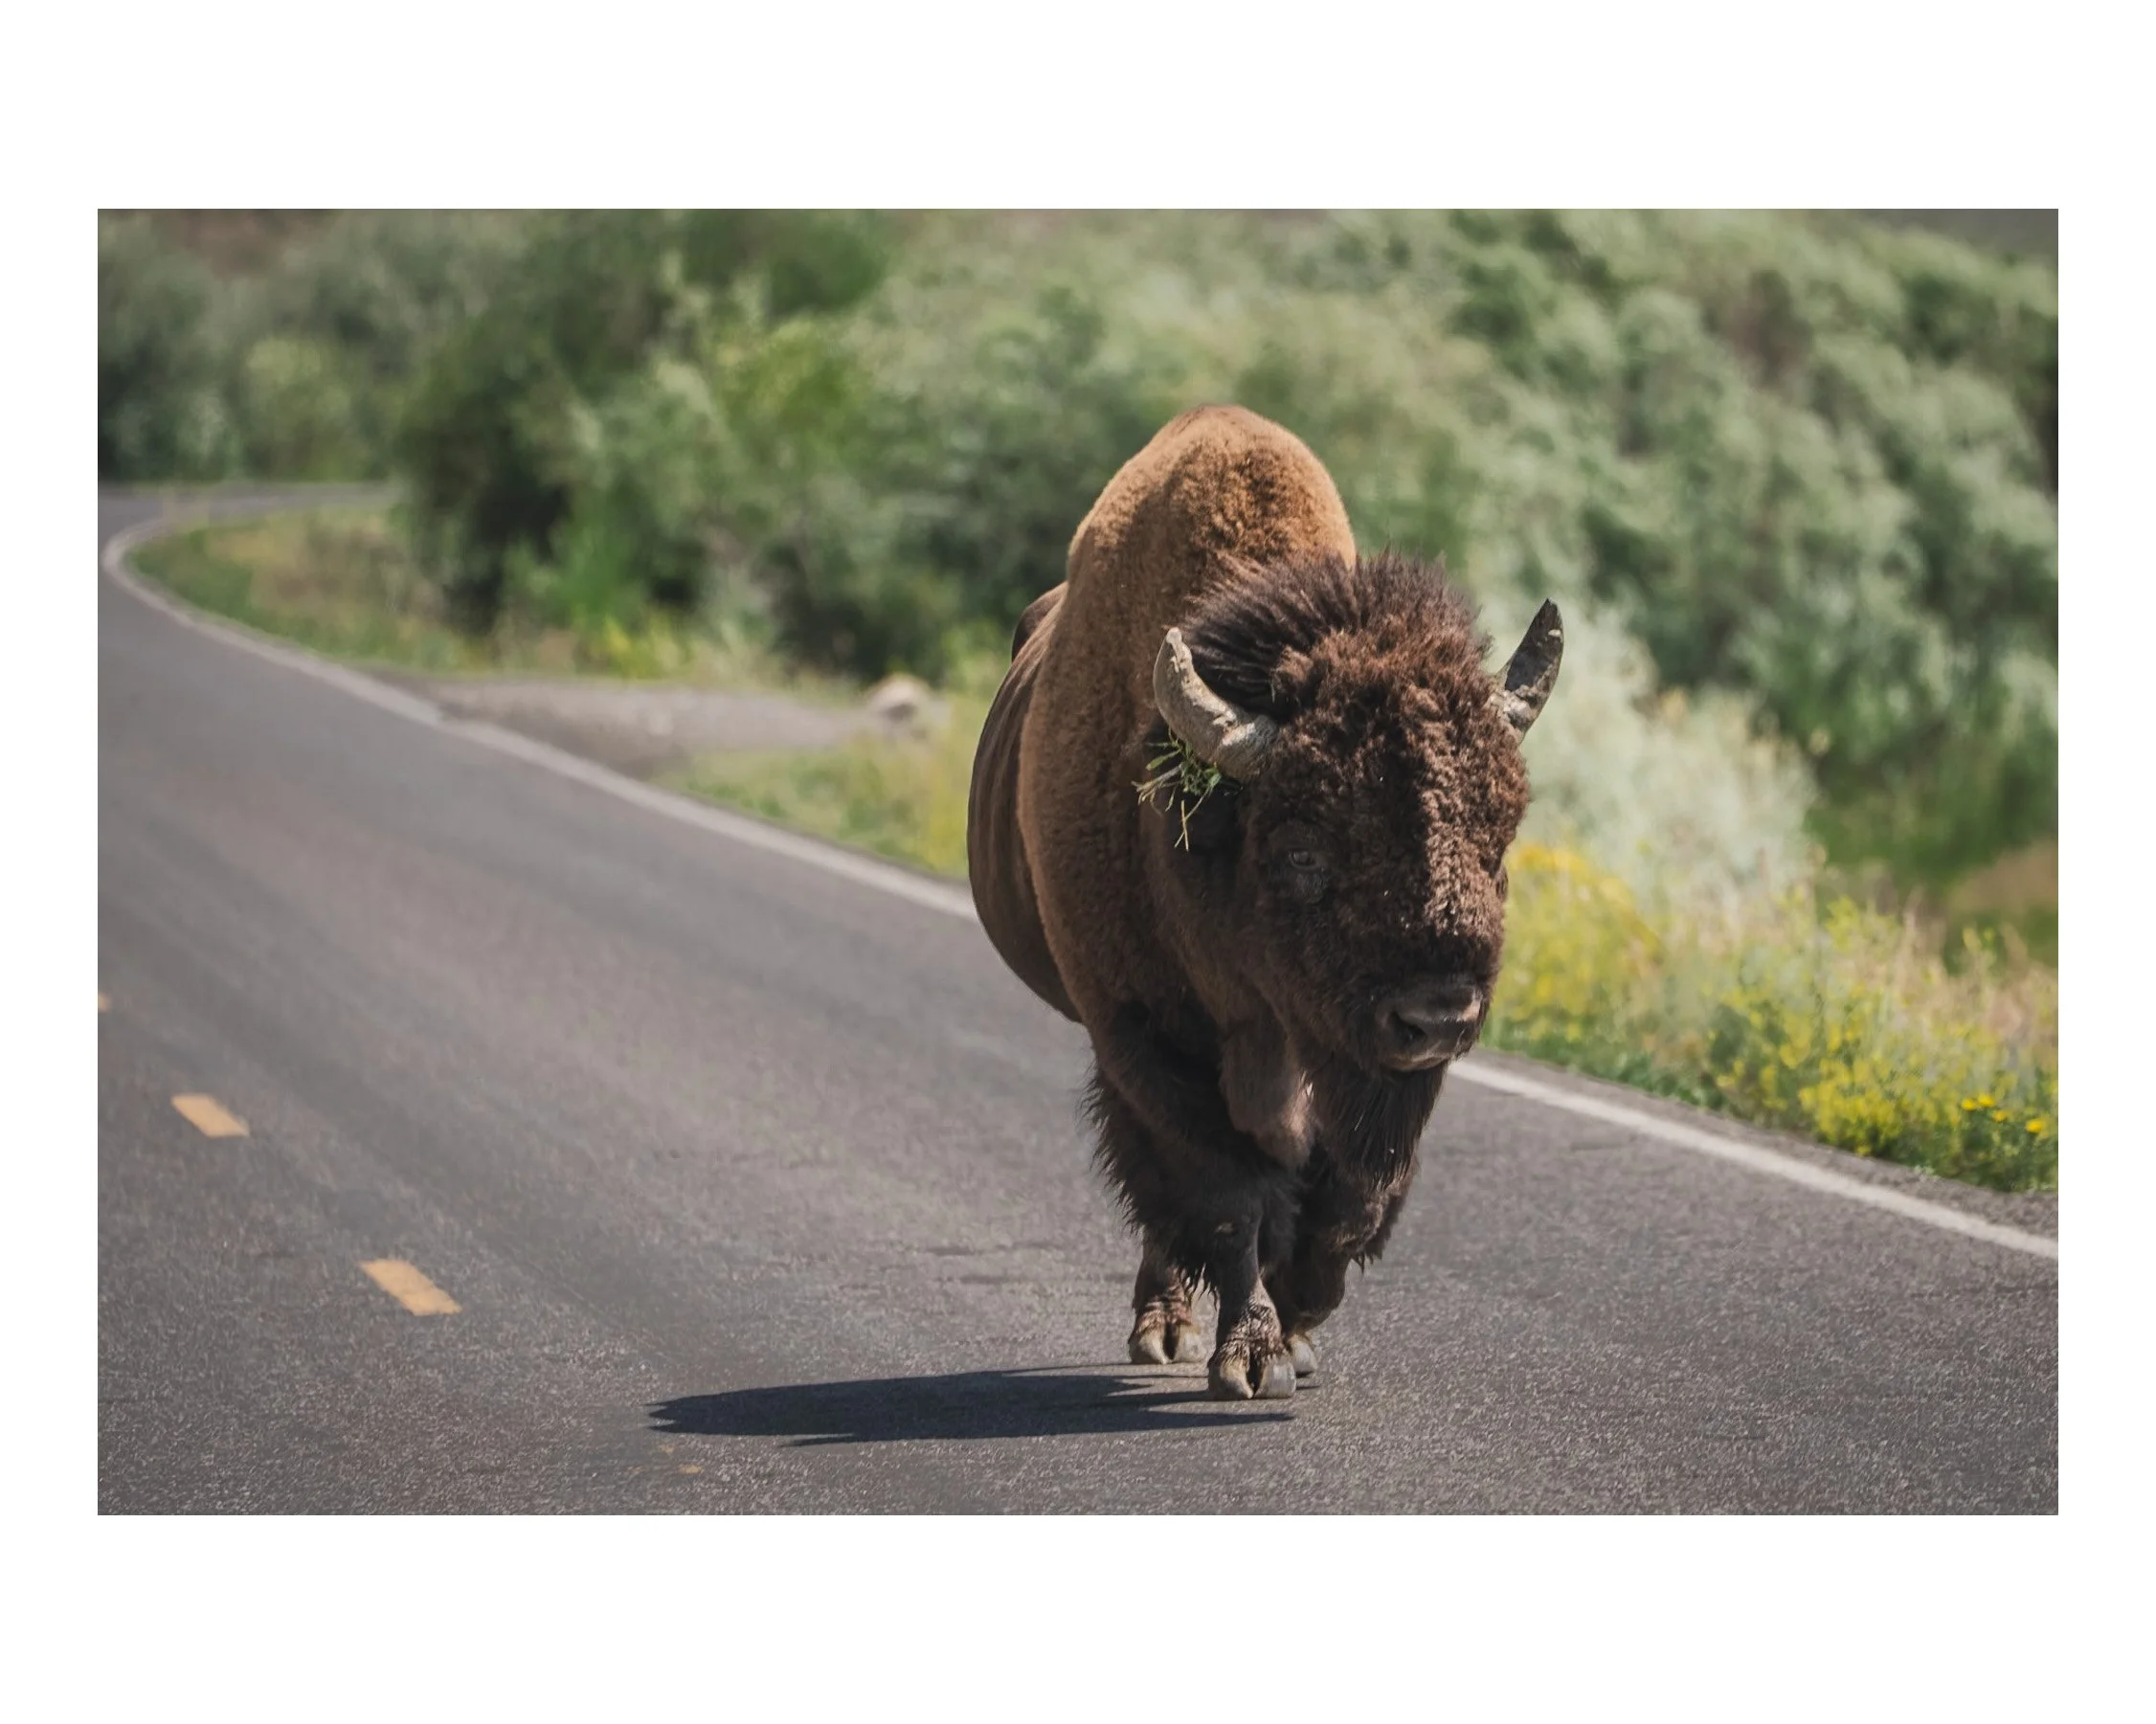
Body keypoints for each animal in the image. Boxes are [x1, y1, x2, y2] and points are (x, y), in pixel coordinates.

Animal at [968, 406, 1561, 1399]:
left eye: (1499, 836)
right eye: (1302, 849)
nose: (1439, 1014)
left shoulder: (1367, 1068)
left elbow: (1350, 1192)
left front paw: (1303, 1320)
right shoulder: (1145, 1036)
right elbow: (1230, 1196)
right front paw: (1253, 1356)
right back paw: (1163, 1326)